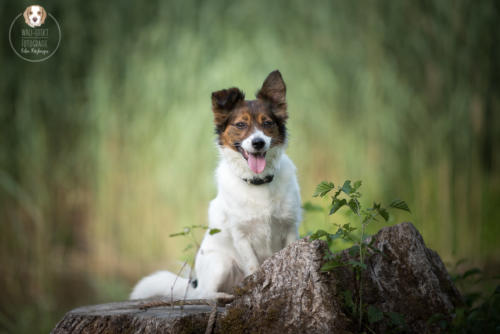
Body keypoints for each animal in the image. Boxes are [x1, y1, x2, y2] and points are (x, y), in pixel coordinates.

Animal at [130, 70, 300, 300]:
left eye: (267, 123)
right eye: (240, 125)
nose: (258, 143)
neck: (258, 183)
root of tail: (194, 284)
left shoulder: (290, 226)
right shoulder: (241, 236)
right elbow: (253, 267)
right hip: (221, 263)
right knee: (203, 293)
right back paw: (222, 296)